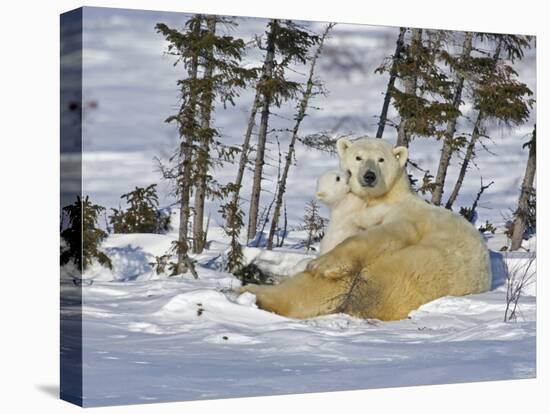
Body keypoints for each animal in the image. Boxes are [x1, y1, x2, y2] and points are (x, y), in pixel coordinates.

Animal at [239, 137, 494, 322]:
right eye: (358, 157)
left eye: (381, 160)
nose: (369, 176)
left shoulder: (406, 215)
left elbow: (382, 234)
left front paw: (321, 264)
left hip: (414, 268)